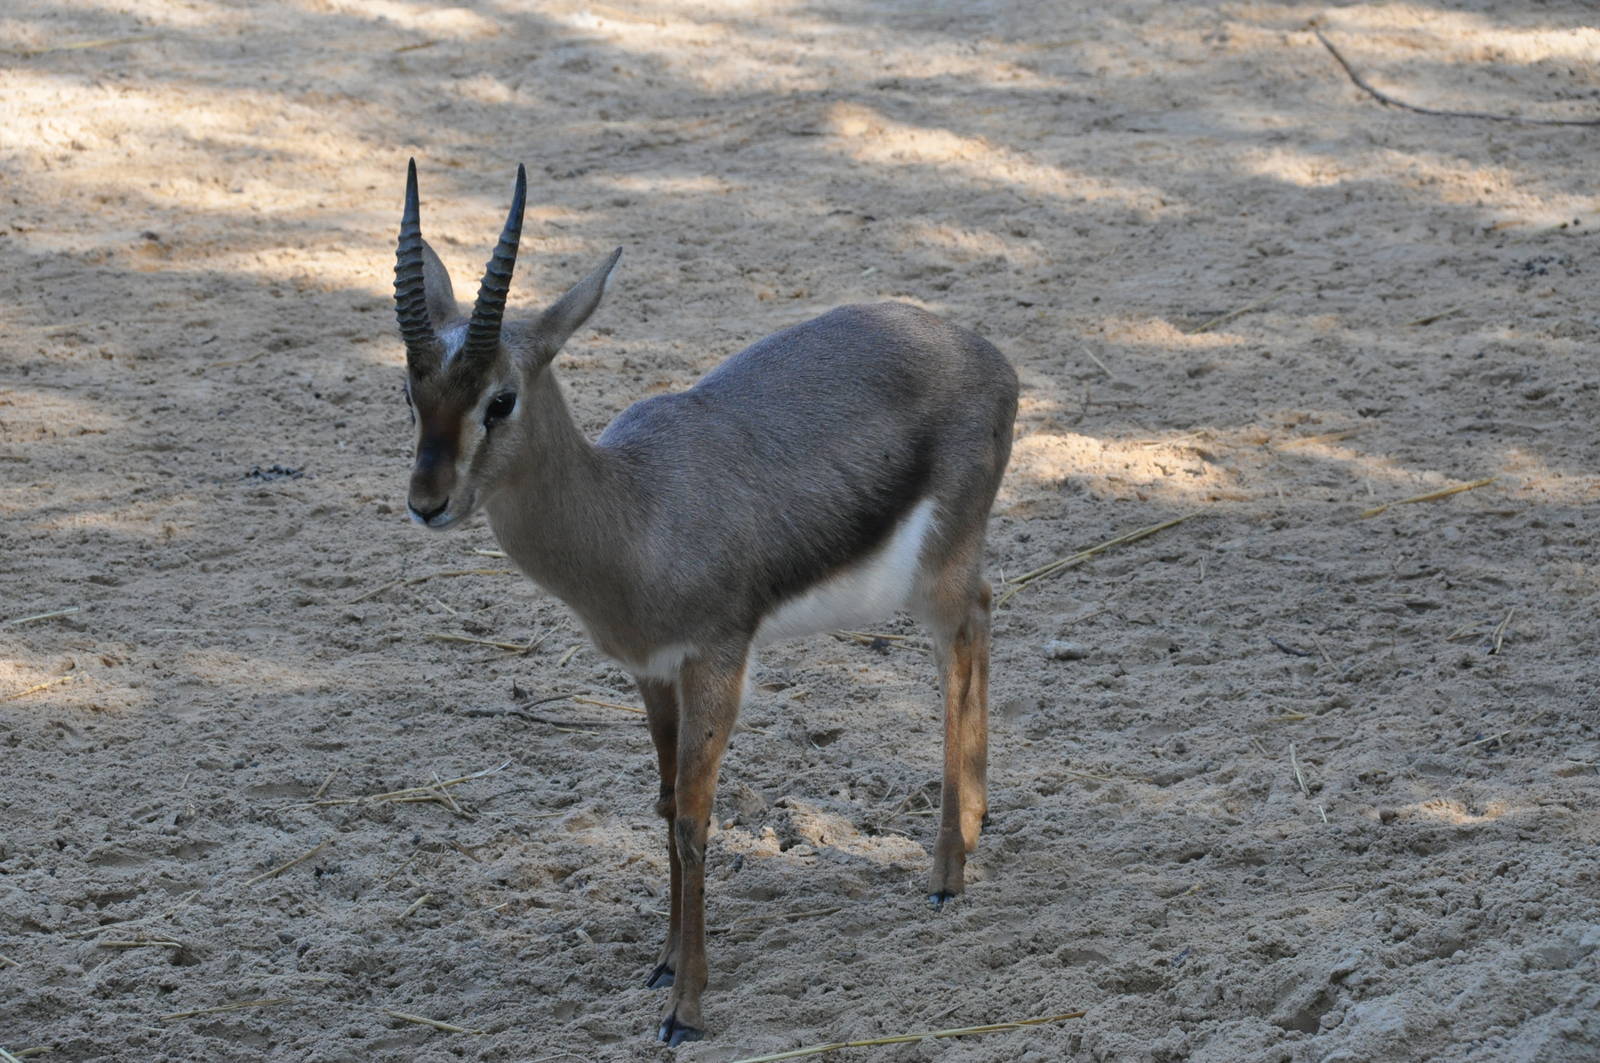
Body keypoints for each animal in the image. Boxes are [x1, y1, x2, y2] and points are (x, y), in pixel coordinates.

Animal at [392, 160, 1017, 1045]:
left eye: (500, 398)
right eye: (410, 390)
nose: (428, 502)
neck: (634, 510)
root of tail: (989, 356)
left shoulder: (718, 660)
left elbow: (693, 821)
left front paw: (685, 1006)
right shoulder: (651, 672)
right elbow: (662, 808)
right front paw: (659, 963)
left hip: (938, 572)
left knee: (962, 644)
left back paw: (947, 873)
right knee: (985, 620)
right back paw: (975, 824)